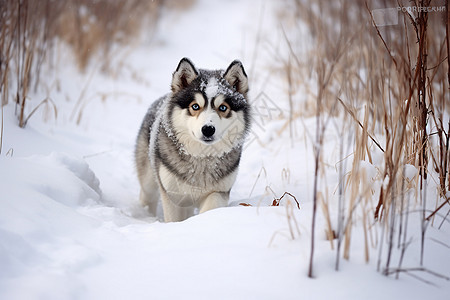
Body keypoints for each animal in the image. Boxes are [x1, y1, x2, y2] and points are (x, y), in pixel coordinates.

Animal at [135, 58, 251, 221]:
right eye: (195, 106)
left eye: (223, 108)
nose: (208, 129)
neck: (202, 157)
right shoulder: (172, 195)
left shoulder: (219, 192)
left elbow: (210, 207)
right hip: (149, 180)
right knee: (147, 196)